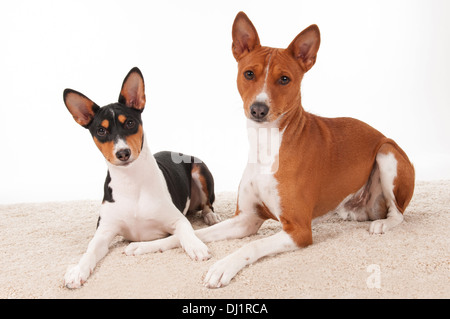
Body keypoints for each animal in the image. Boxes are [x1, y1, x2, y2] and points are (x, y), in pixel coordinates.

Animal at [127, 11, 414, 288]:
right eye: (249, 74)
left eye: (284, 79)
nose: (258, 109)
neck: (265, 145)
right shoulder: (246, 219)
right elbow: (193, 233)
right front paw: (148, 245)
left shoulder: (299, 230)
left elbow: (252, 245)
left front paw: (222, 267)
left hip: (386, 153)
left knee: (398, 213)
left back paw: (382, 224)